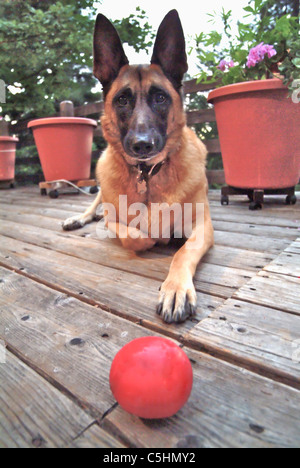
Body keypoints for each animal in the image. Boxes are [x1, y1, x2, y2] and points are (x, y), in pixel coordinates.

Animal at [62, 10, 213, 322]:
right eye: (122, 99)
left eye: (160, 97)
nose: (142, 145)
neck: (147, 176)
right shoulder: (116, 222)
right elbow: (132, 235)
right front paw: (148, 238)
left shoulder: (202, 226)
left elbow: (183, 251)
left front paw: (176, 288)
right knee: (95, 205)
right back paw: (80, 217)